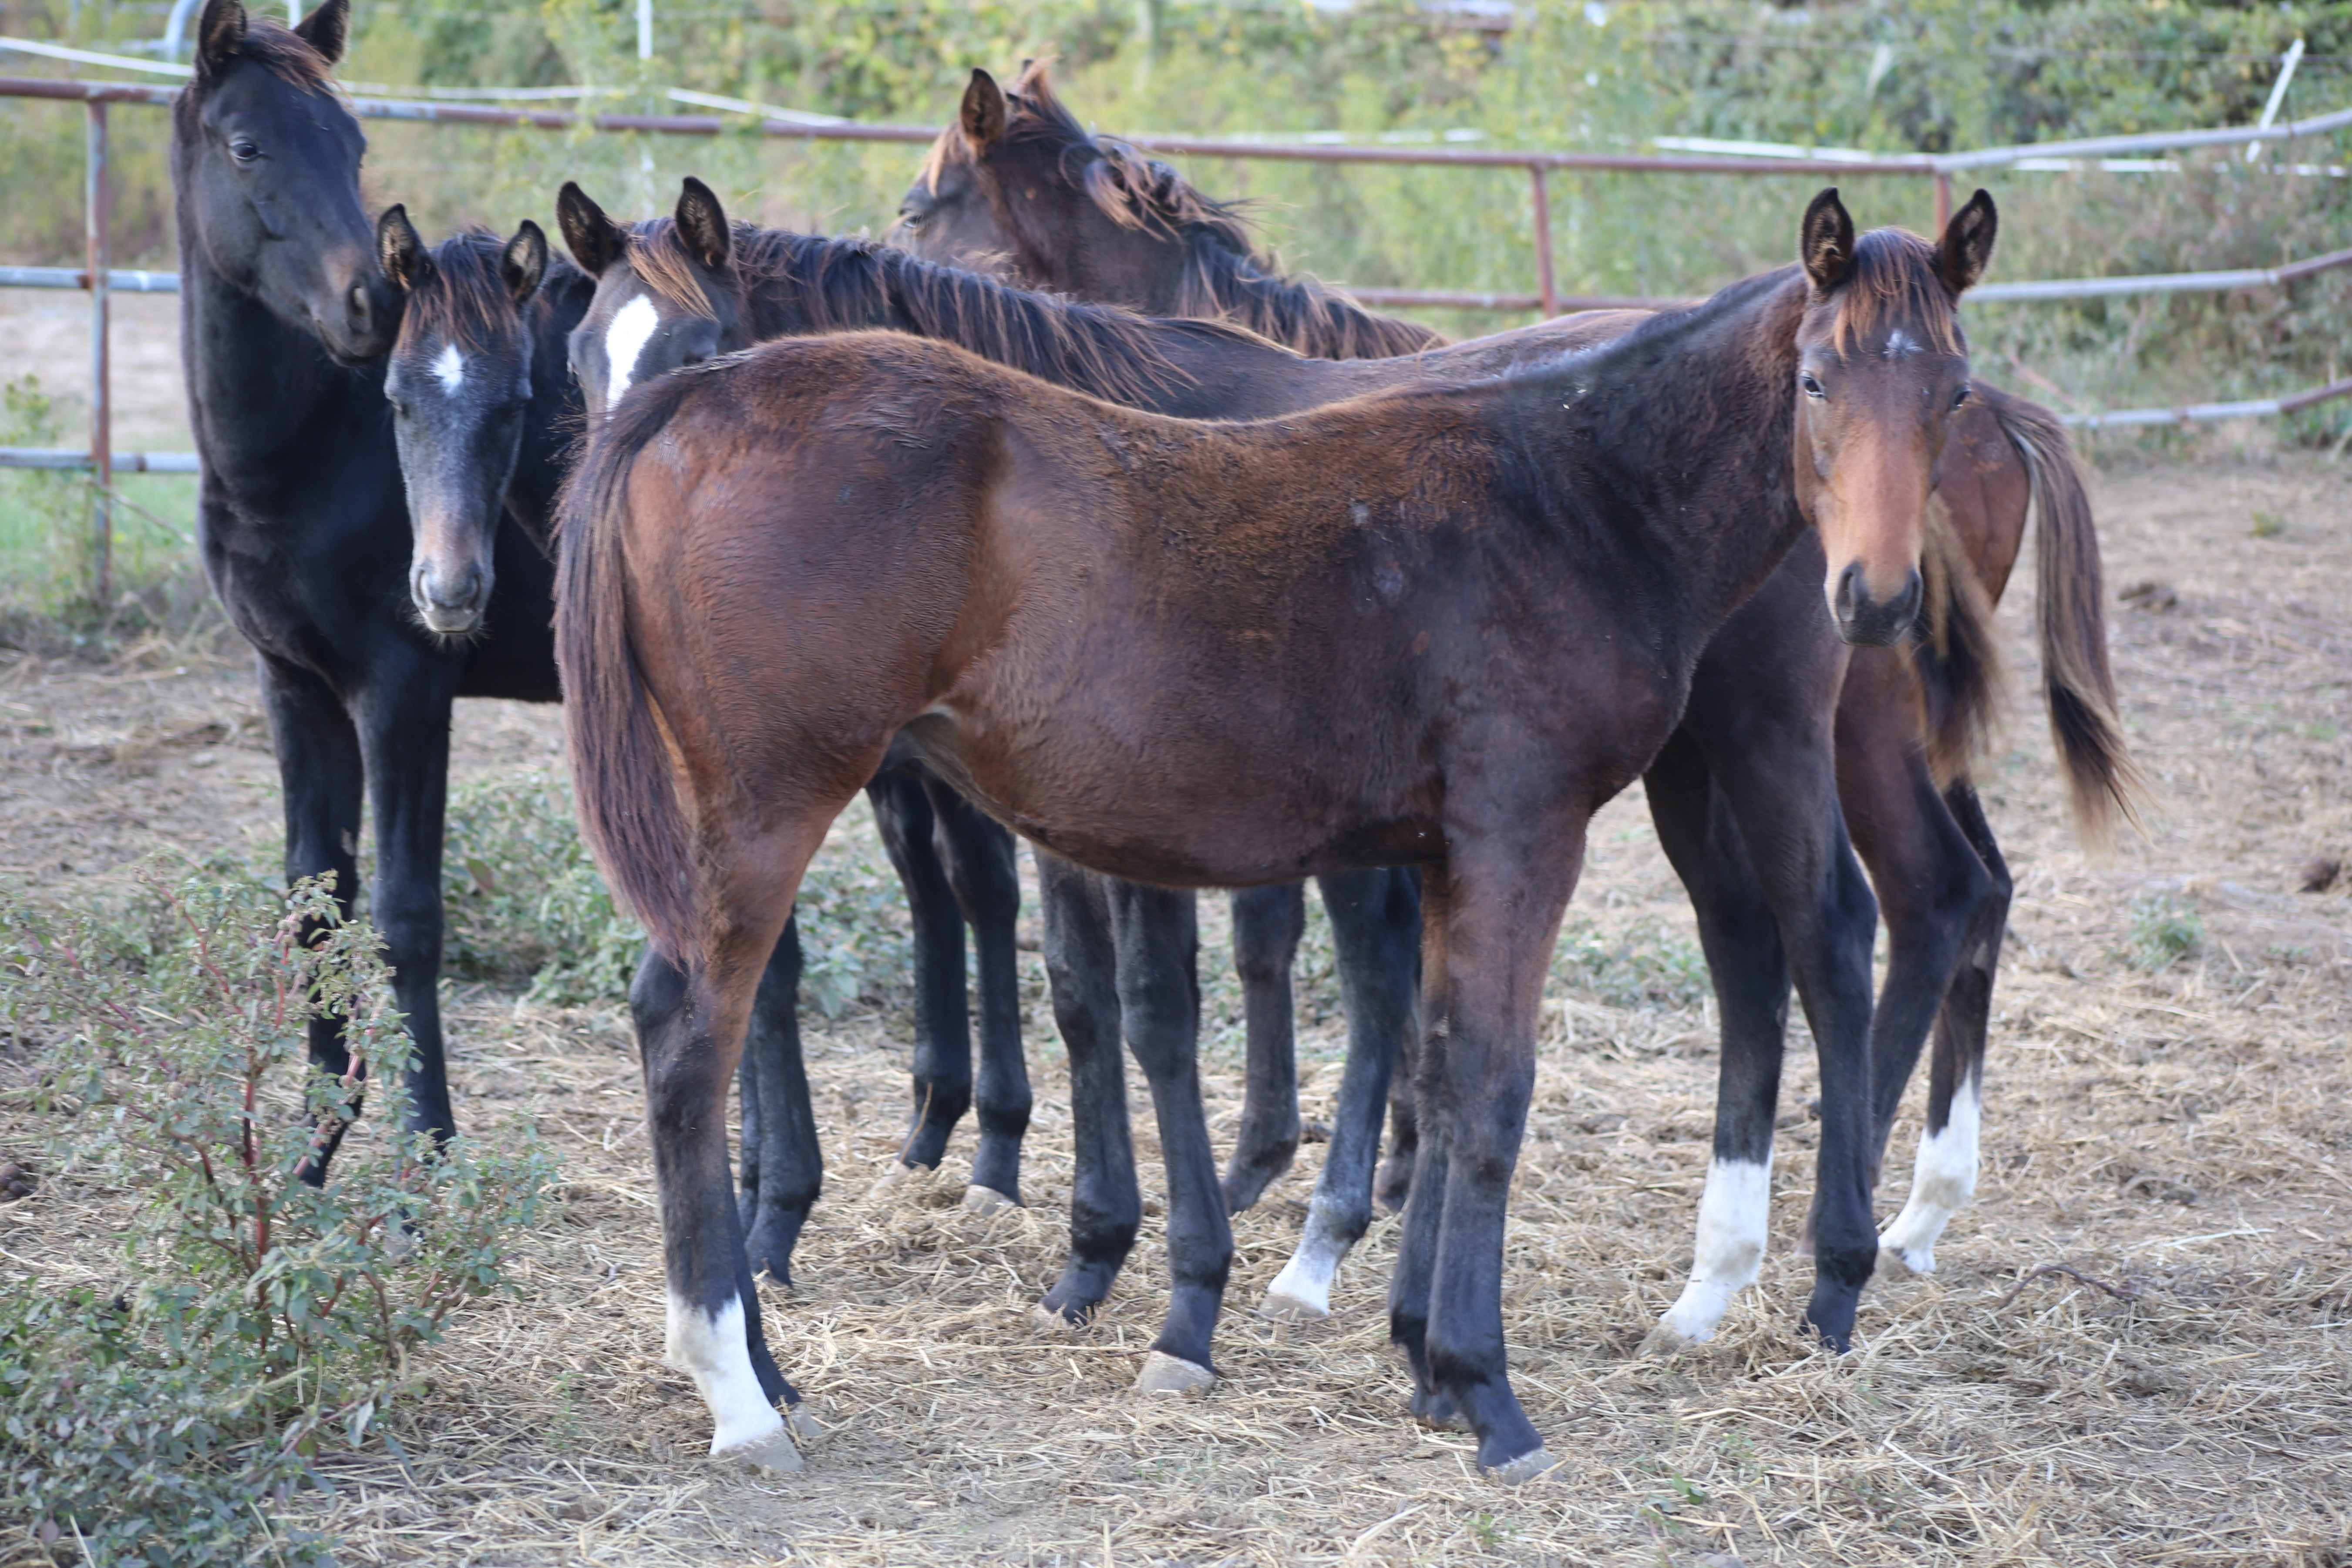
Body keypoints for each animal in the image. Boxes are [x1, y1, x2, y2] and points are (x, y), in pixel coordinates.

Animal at [555, 190, 2004, 1476]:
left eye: (1951, 392)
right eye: (1814, 380)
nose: (1874, 595)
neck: (1574, 491)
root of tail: (695, 407)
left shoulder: (1444, 851)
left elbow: (1429, 1063)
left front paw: (1418, 1355)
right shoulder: (1517, 834)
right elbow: (1484, 1087)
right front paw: (1483, 1392)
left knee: (1807, 944)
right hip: (763, 808)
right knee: (690, 1037)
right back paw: (739, 1392)